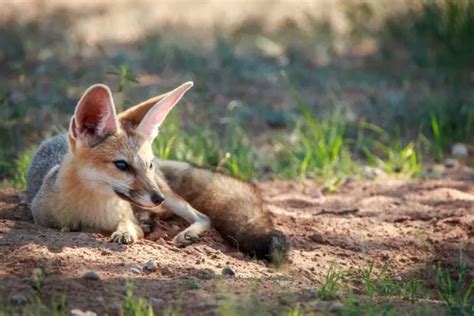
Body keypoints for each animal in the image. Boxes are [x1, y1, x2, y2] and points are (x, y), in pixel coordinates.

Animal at [27, 81, 290, 262]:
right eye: (122, 165)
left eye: (148, 165)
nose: (157, 198)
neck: (92, 211)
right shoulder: (42, 218)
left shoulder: (128, 214)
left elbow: (129, 227)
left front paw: (125, 233)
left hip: (172, 198)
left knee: (202, 216)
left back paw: (183, 231)